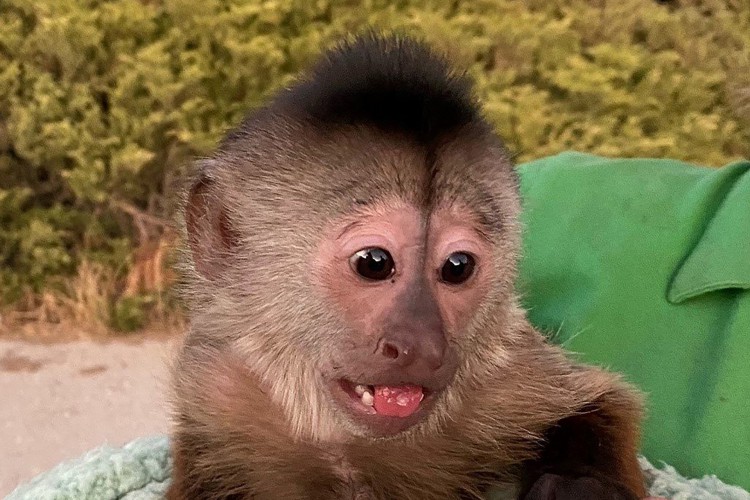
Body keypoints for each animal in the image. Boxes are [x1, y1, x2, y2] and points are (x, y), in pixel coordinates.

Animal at [167, 34, 648, 500]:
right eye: (374, 263)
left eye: (457, 267)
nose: (423, 344)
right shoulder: (218, 391)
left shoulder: (508, 375)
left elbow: (604, 400)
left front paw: (579, 484)